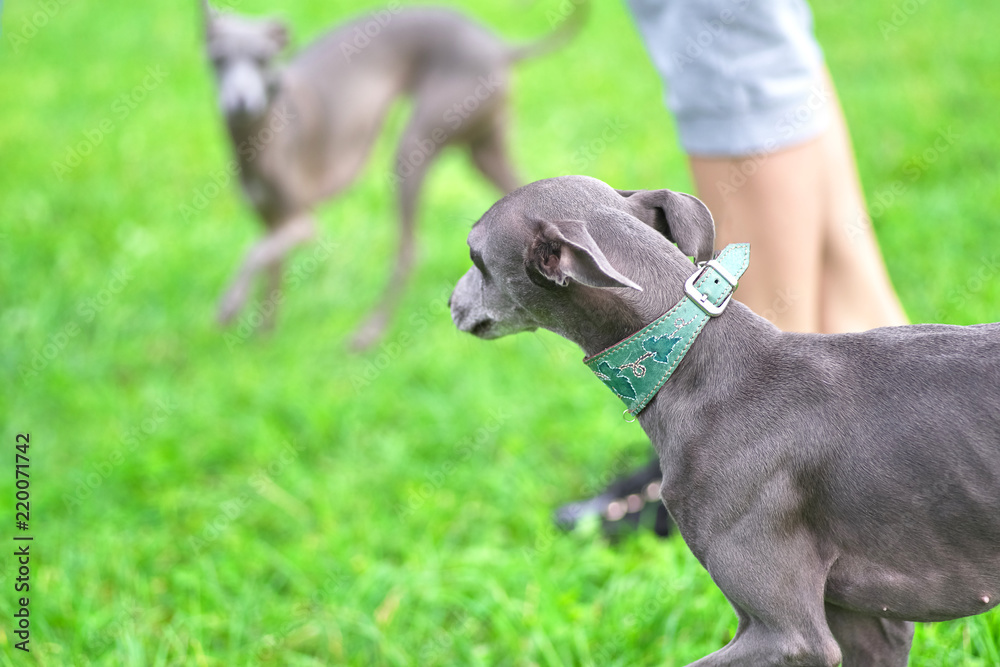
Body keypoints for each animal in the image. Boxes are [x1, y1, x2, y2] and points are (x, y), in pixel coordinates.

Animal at [202, 2, 584, 350]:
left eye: (262, 59)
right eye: (217, 60)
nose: (240, 102)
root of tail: (501, 47)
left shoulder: (301, 225)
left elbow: (254, 253)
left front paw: (229, 307)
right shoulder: (272, 220)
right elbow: (271, 271)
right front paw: (263, 340)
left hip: (415, 145)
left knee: (409, 251)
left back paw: (370, 333)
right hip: (485, 150)